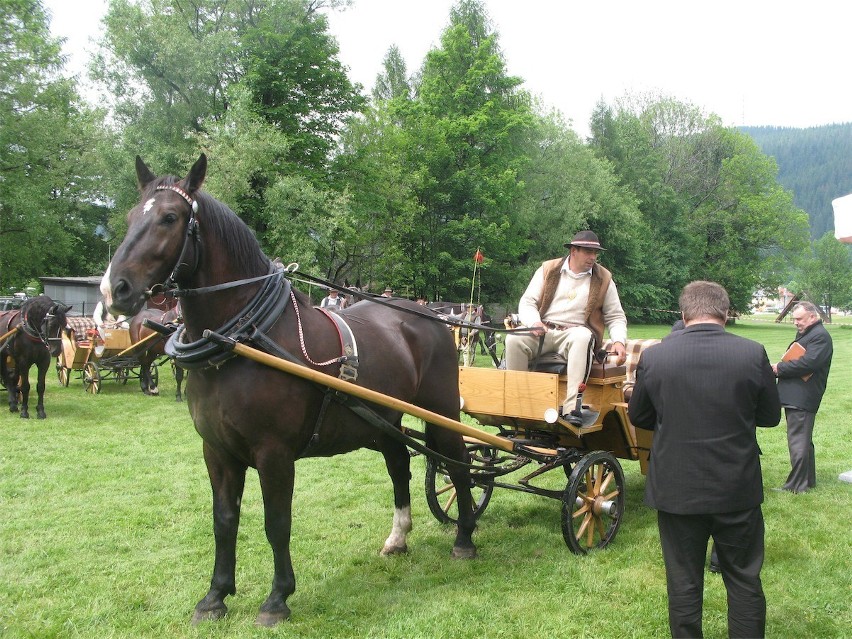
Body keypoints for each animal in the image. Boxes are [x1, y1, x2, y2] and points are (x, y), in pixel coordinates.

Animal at [100, 154, 480, 624]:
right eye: (132, 217)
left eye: (170, 218)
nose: (115, 289)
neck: (241, 341)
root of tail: (433, 316)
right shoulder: (217, 450)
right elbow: (223, 520)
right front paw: (215, 596)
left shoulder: (274, 453)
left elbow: (276, 522)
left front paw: (277, 598)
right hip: (382, 421)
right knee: (399, 466)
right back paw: (398, 538)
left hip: (441, 410)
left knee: (459, 464)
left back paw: (465, 538)